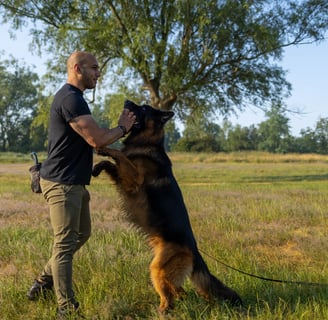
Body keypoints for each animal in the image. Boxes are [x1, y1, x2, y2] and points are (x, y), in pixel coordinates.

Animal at [91, 100, 241, 312]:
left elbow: (119, 155)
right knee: (180, 292)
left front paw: (105, 149)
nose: (127, 101)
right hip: (162, 271)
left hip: (157, 269)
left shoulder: (134, 179)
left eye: (143, 108)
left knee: (171, 296)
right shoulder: (124, 178)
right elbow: (111, 164)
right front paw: (97, 167)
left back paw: (162, 311)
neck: (147, 142)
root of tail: (194, 251)